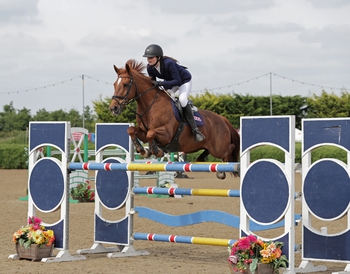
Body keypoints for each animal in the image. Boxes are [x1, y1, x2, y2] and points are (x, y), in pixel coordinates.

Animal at [109, 59, 241, 180]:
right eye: (114, 84)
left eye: (126, 84)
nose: (113, 108)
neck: (150, 105)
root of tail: (222, 119)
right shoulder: (143, 132)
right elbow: (132, 130)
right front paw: (143, 150)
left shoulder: (166, 134)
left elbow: (151, 134)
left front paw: (156, 151)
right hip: (209, 146)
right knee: (210, 151)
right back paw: (205, 161)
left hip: (218, 148)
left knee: (230, 149)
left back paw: (225, 168)